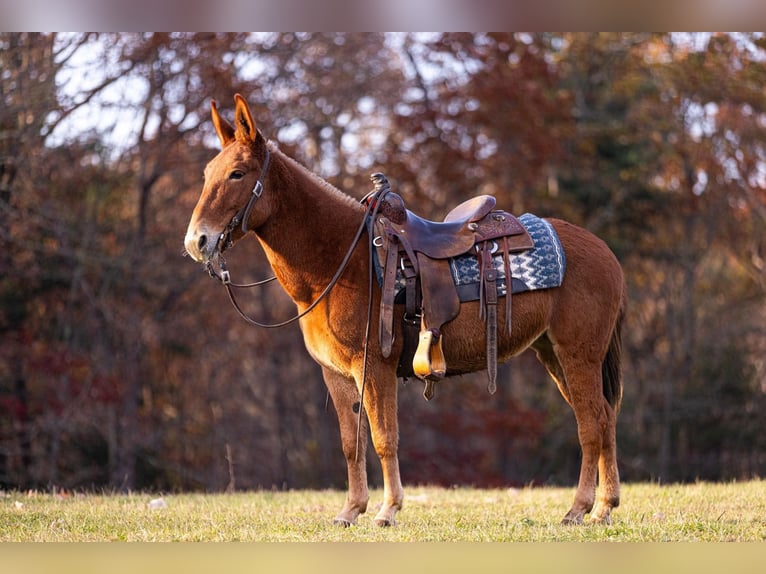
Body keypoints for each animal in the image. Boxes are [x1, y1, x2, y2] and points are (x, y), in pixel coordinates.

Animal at [186, 95, 632, 532]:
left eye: (238, 174)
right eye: (209, 172)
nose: (197, 241)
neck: (340, 259)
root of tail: (605, 252)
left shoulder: (374, 367)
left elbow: (384, 437)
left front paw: (388, 510)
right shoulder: (335, 373)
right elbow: (351, 442)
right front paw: (351, 510)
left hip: (578, 354)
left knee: (591, 423)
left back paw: (579, 509)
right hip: (552, 353)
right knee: (606, 418)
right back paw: (604, 508)